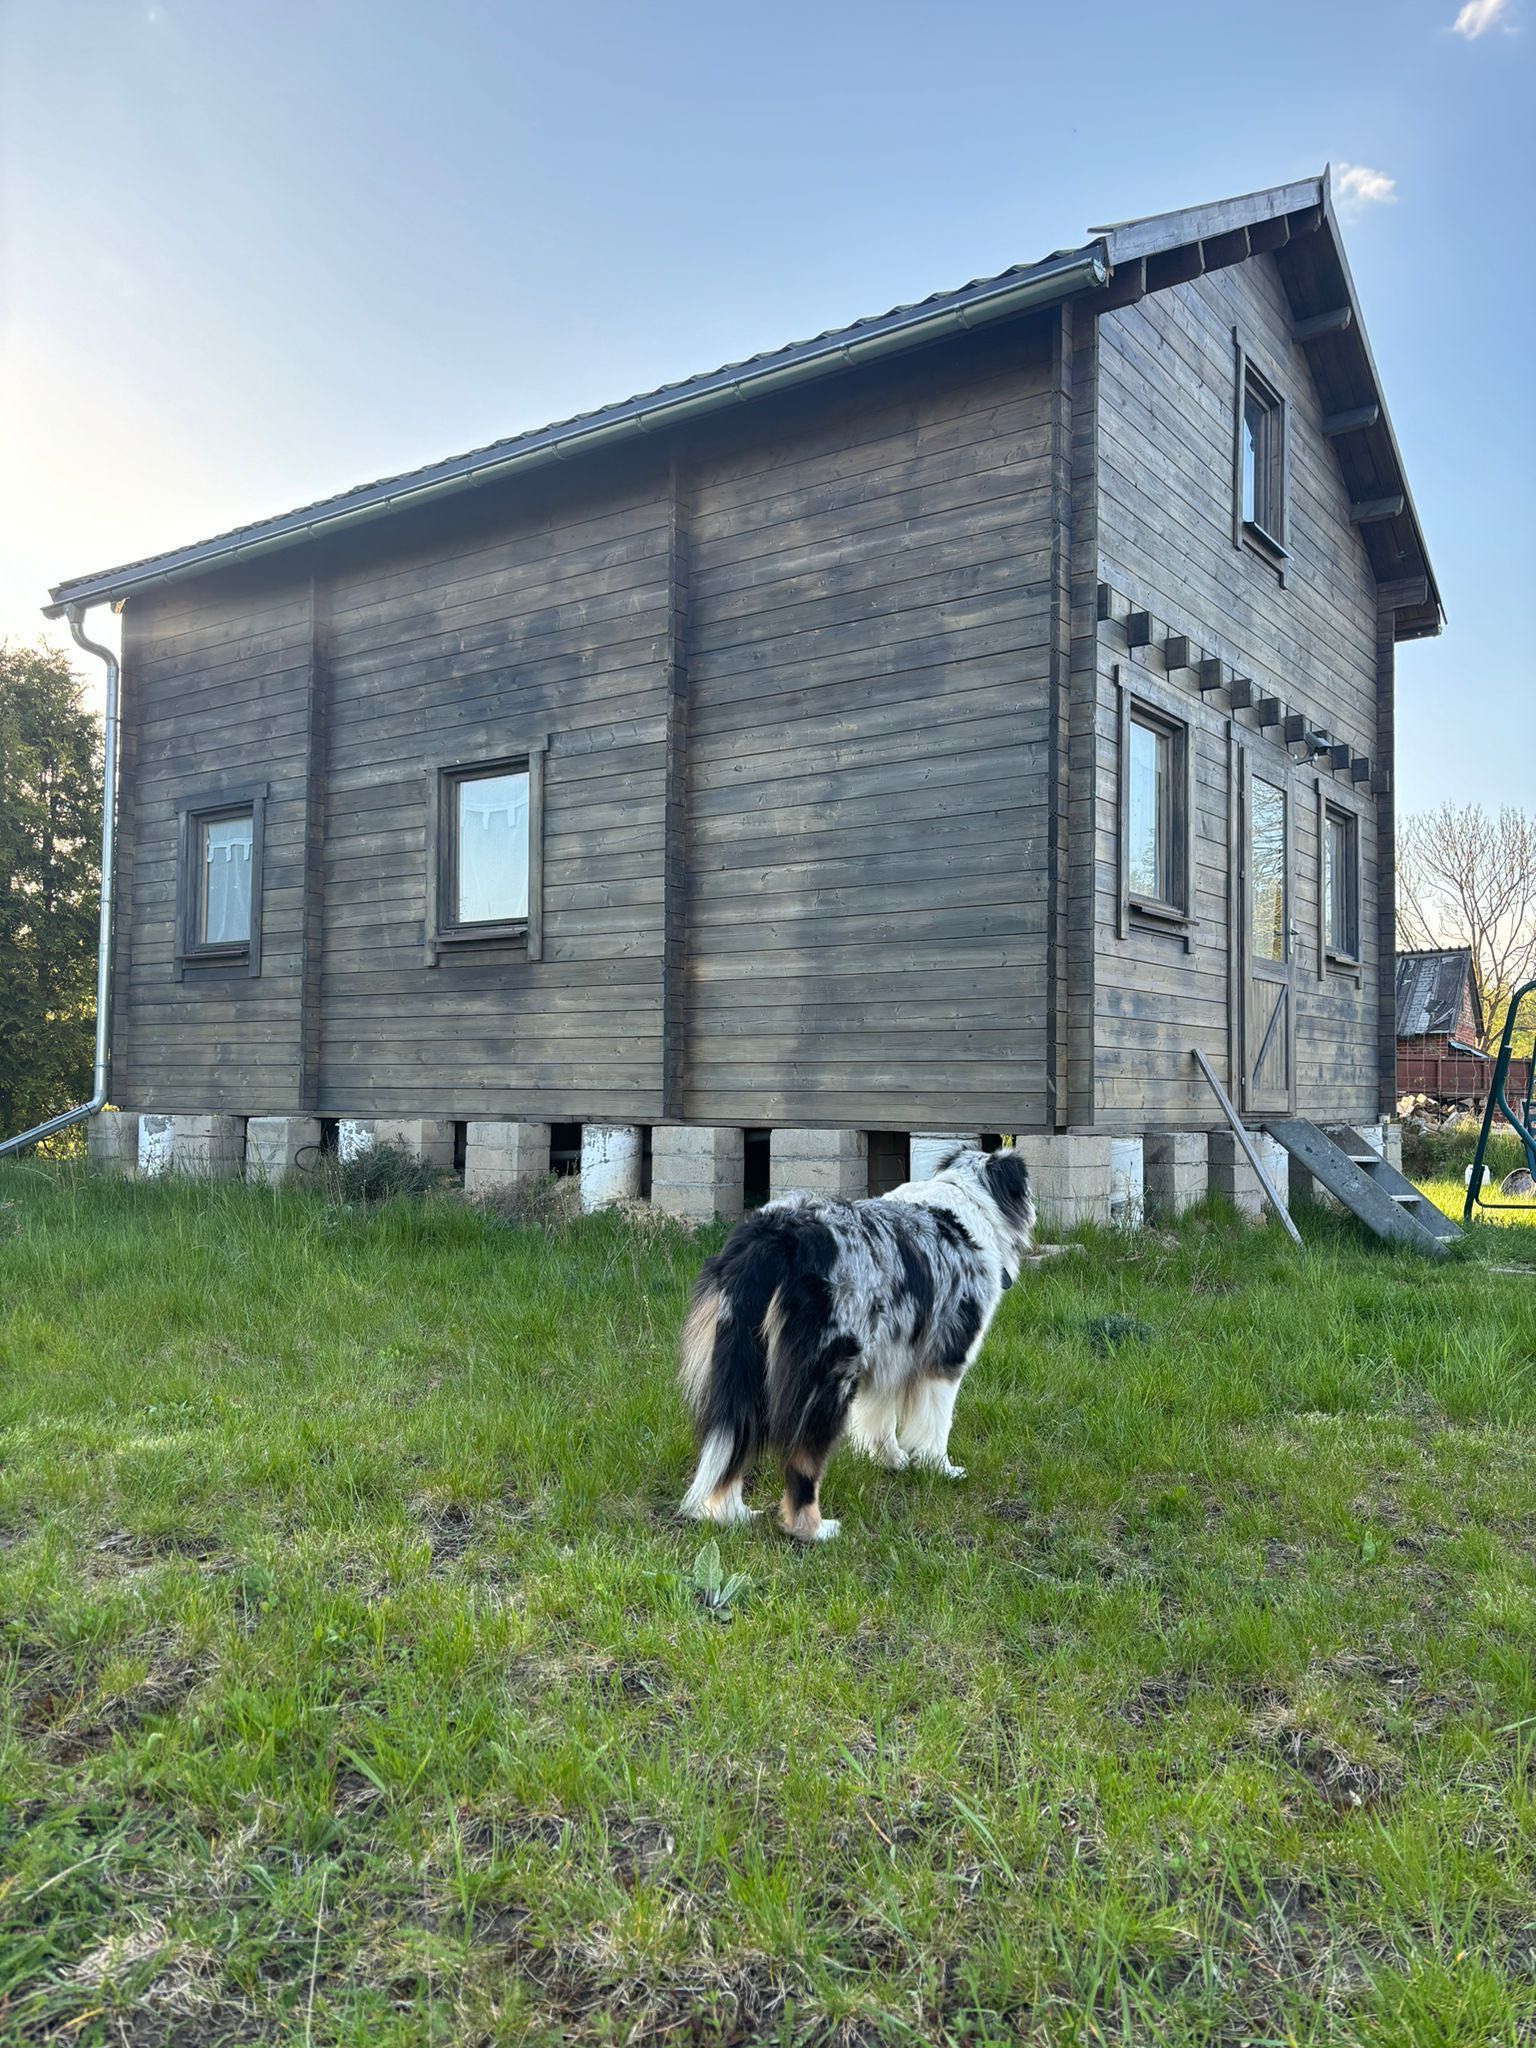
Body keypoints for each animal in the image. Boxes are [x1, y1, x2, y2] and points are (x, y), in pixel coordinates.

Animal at [675, 1155, 1028, 1540]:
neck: (964, 1200)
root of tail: (779, 1233)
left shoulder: (890, 1353)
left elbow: (880, 1420)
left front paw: (892, 1461)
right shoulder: (945, 1359)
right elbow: (936, 1425)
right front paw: (941, 1470)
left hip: (738, 1363)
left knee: (732, 1442)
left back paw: (726, 1512)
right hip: (828, 1371)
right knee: (802, 1461)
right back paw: (813, 1529)